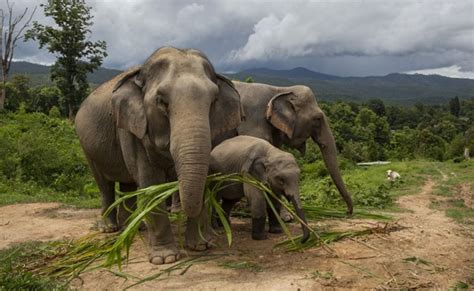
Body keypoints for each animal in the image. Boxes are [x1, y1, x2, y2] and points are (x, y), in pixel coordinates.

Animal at [77, 47, 244, 264]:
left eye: (214, 101)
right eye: (161, 101)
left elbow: (204, 177)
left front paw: (200, 246)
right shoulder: (132, 128)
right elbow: (151, 184)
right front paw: (165, 259)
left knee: (128, 185)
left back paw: (134, 227)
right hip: (87, 148)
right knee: (104, 185)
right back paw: (110, 229)